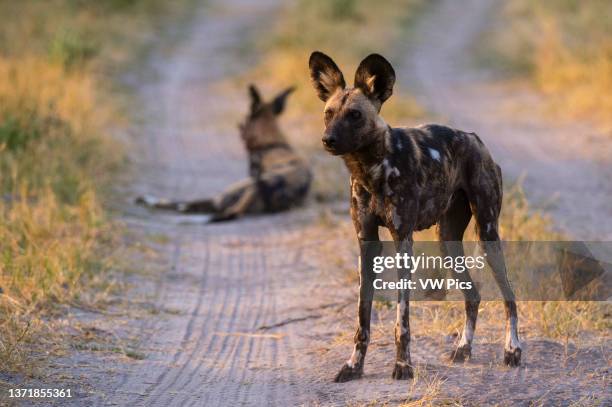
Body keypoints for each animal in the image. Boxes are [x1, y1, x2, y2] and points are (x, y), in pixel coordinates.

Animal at [137, 84, 314, 222]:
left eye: (244, 121)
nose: (239, 127)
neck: (271, 143)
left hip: (226, 194)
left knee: (183, 204)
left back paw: (146, 199)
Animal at [308, 51, 524, 382]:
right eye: (328, 113)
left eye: (355, 115)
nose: (327, 139)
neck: (371, 168)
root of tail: (475, 138)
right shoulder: (366, 243)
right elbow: (362, 319)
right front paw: (354, 366)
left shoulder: (402, 242)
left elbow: (402, 321)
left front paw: (402, 366)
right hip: (448, 244)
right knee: (472, 295)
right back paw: (463, 348)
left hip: (488, 234)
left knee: (509, 296)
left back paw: (512, 350)